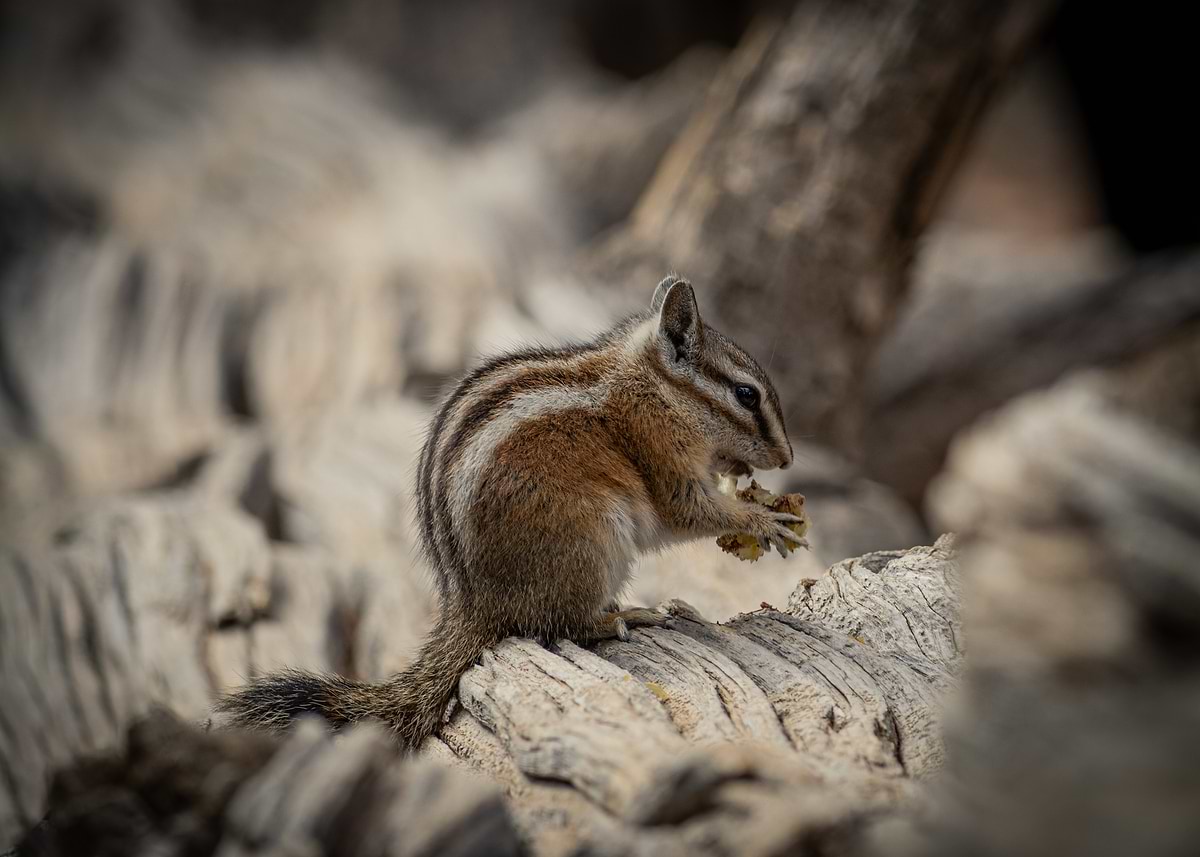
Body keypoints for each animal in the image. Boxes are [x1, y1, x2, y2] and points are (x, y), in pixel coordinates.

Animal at [214, 274, 800, 748]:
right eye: (746, 395)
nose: (787, 459)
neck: (655, 388)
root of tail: (471, 605)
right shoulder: (659, 454)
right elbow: (688, 511)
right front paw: (766, 520)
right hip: (591, 542)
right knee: (556, 624)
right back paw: (624, 616)